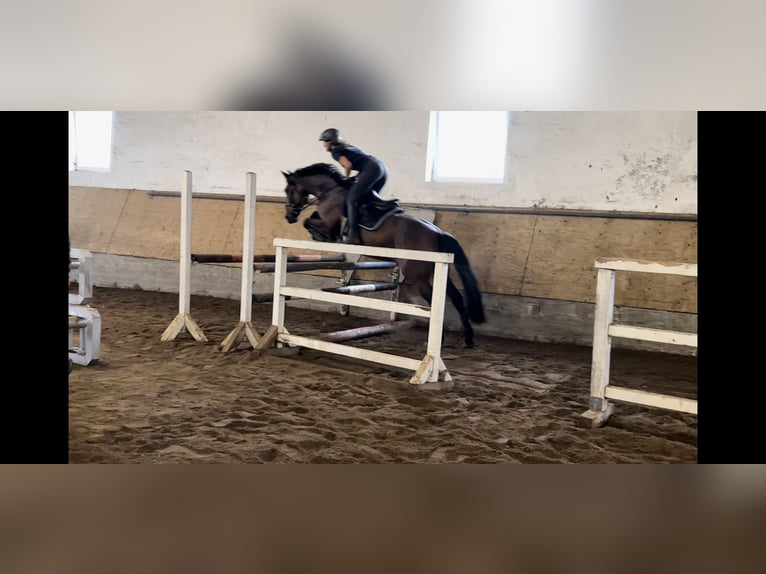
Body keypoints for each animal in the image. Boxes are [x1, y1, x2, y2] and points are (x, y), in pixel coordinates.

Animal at [280, 163, 486, 348]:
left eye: (289, 190)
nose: (289, 217)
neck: (330, 191)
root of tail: (437, 232)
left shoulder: (329, 224)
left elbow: (309, 222)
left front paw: (319, 236)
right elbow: (311, 219)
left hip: (418, 276)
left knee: (435, 301)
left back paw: (438, 340)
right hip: (438, 271)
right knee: (456, 298)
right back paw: (468, 339)